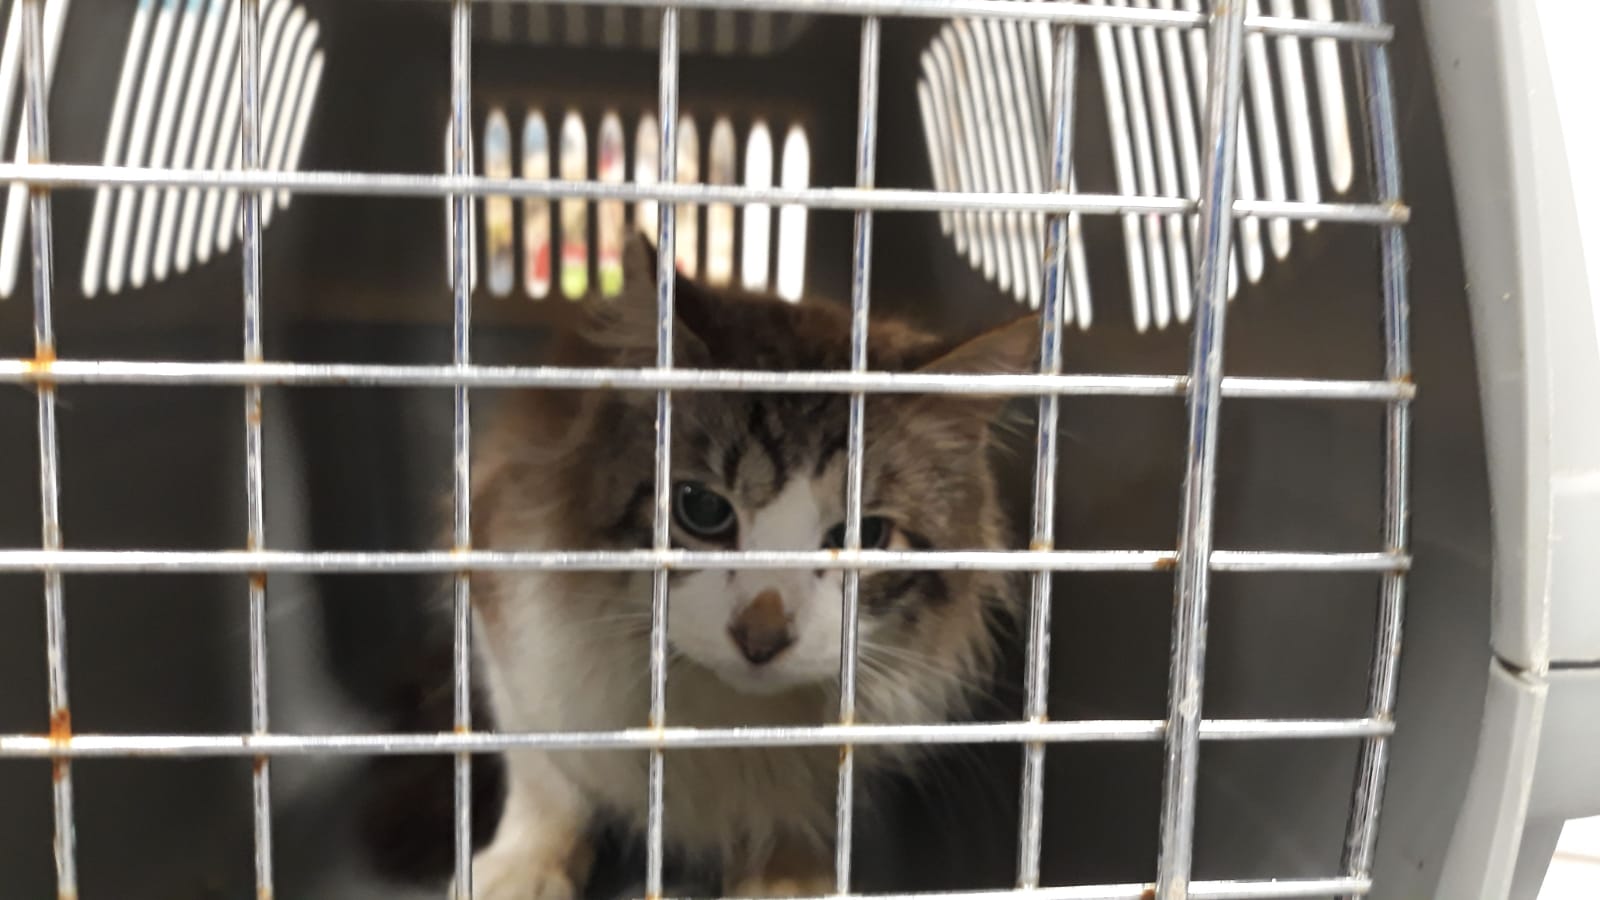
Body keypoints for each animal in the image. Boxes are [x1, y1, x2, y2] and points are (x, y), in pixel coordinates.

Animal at [465, 234, 1038, 898]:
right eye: (702, 508)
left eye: (864, 535)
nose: (760, 638)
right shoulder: (507, 612)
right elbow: (543, 768)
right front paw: (525, 865)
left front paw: (789, 874)